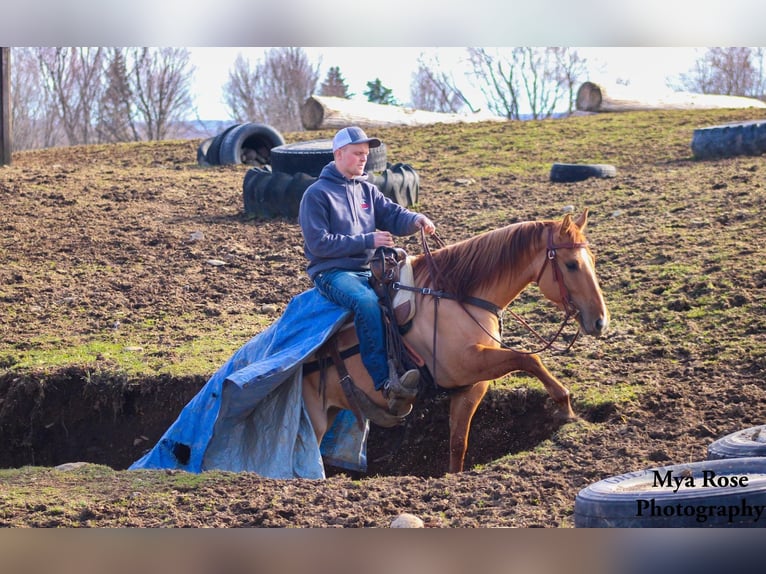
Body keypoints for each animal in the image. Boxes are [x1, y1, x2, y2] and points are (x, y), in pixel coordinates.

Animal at [304, 209, 608, 474]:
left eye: (593, 261)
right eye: (571, 264)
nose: (600, 321)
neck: (458, 297)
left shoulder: (470, 384)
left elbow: (457, 442)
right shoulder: (464, 365)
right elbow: (527, 357)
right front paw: (565, 405)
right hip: (313, 420)